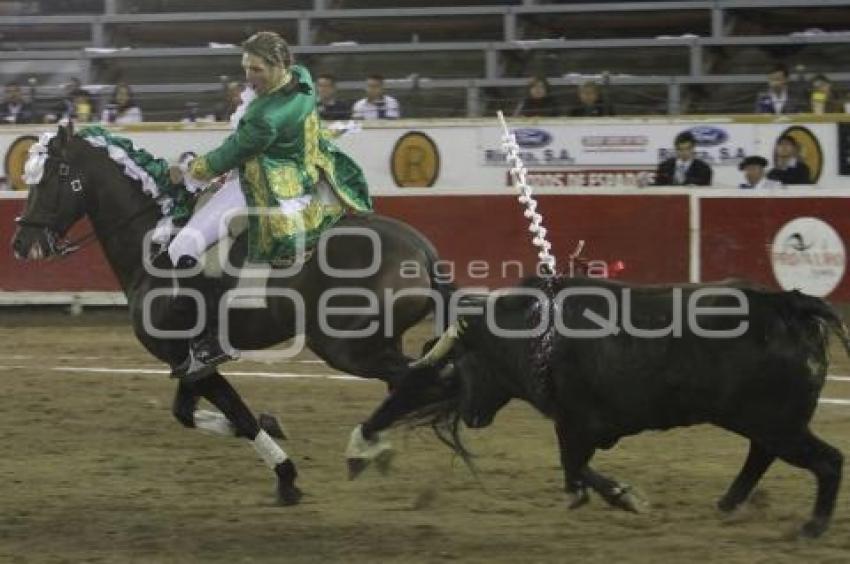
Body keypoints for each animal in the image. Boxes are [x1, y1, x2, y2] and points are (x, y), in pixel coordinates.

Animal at [380, 278, 844, 536]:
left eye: (464, 362)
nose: (471, 416)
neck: (536, 336)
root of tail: (789, 306)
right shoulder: (580, 427)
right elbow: (575, 467)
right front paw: (613, 496)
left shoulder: (577, 422)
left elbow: (572, 466)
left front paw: (621, 497)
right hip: (766, 422)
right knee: (762, 455)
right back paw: (728, 504)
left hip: (776, 422)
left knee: (828, 460)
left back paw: (812, 527)